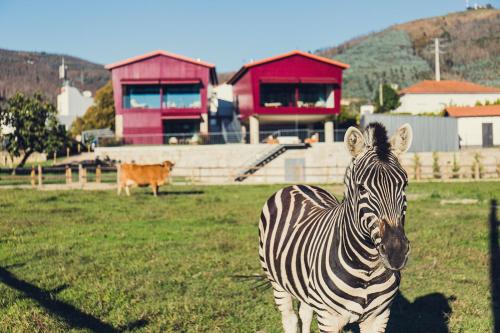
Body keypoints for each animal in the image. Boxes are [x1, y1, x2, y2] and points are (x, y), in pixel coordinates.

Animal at [260, 122, 412, 332]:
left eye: (404, 185)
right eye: (362, 188)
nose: (396, 253)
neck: (367, 267)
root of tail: (297, 185)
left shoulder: (379, 317)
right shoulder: (329, 318)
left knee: (305, 314)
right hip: (277, 282)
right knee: (290, 318)